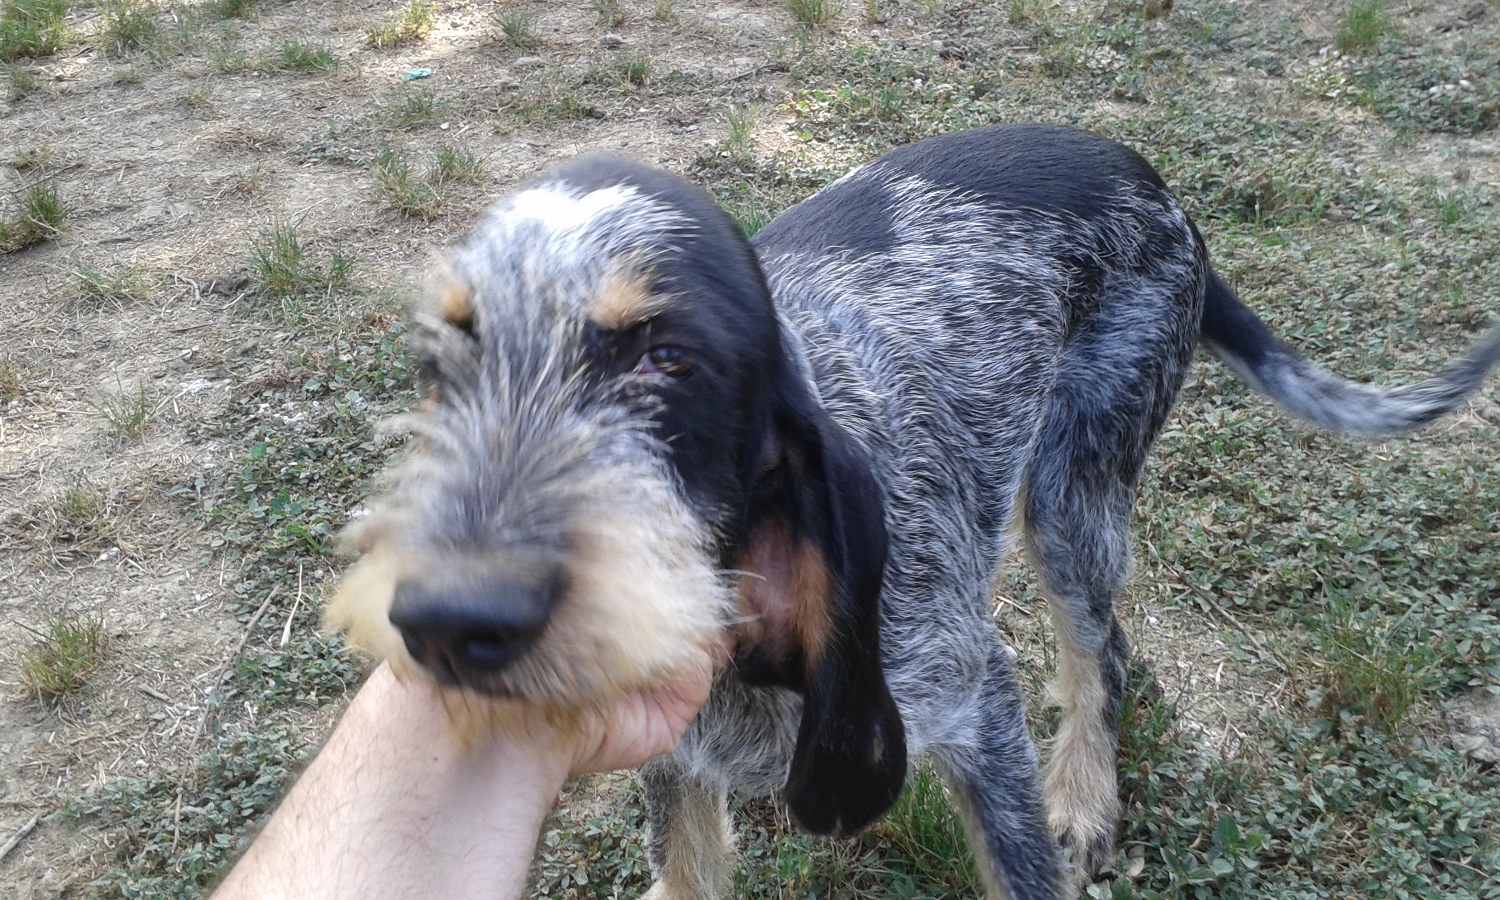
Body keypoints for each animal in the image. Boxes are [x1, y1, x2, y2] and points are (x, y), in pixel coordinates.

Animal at [326, 123, 1500, 899]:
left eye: (669, 359)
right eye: (441, 362)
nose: (448, 623)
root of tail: (1147, 174)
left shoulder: (975, 703)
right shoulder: (667, 745)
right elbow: (687, 857)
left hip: (1075, 492)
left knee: (1104, 650)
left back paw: (1087, 795)